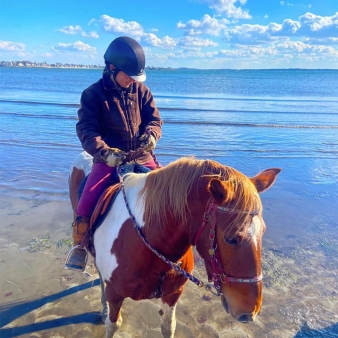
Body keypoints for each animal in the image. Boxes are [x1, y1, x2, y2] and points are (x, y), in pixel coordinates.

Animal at [68, 153, 280, 338]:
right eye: (231, 238)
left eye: (263, 231)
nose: (249, 313)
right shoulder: (115, 294)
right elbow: (113, 325)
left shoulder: (173, 294)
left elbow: (168, 327)